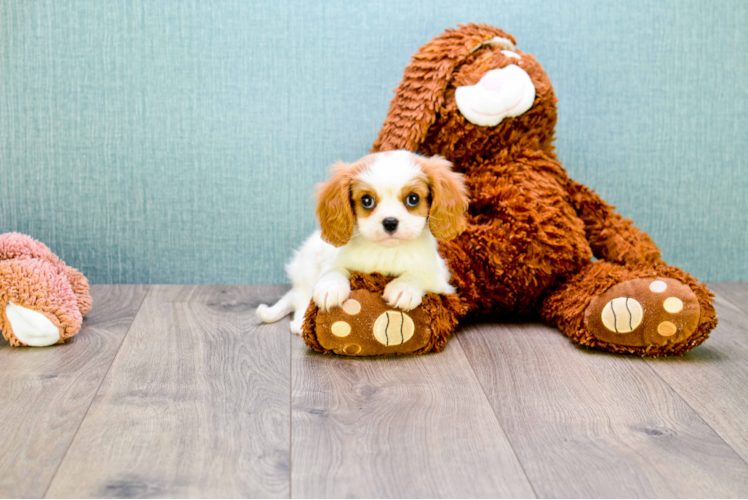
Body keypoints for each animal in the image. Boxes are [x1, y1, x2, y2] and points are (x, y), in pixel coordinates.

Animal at [258, 149, 468, 336]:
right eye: (367, 201)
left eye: (413, 199)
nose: (390, 222)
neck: (386, 251)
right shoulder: (333, 261)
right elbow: (333, 271)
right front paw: (330, 288)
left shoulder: (440, 276)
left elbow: (420, 274)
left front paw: (403, 288)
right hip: (307, 267)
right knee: (299, 296)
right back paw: (299, 322)